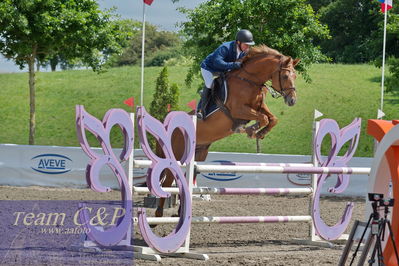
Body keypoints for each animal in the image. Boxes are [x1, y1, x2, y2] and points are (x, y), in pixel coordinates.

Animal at [155, 44, 302, 218]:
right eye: (285, 76)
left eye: (295, 75)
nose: (292, 101)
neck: (250, 81)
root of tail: (166, 127)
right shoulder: (239, 109)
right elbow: (263, 118)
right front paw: (251, 130)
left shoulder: (260, 107)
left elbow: (272, 119)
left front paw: (259, 132)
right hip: (176, 155)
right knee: (167, 181)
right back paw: (158, 215)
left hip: (199, 153)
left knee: (186, 179)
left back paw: (180, 213)